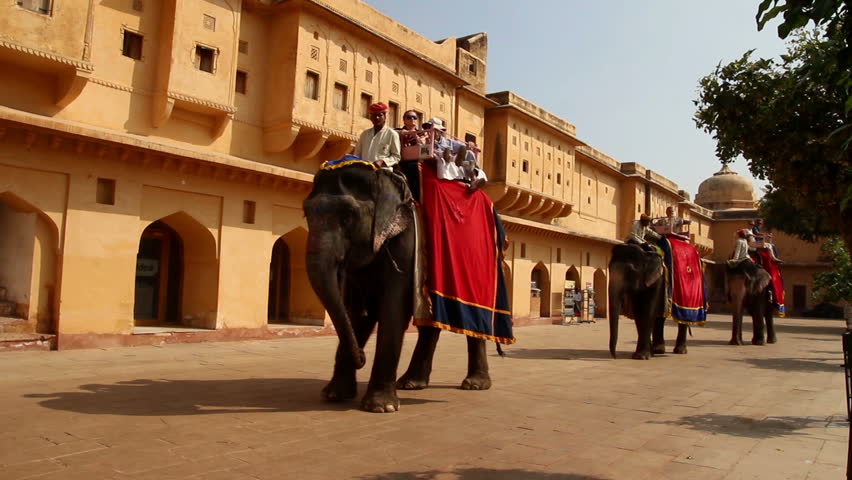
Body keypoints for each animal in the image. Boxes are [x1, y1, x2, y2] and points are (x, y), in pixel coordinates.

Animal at [303, 161, 491, 413]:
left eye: (348, 215)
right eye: (306, 213)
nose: (361, 356)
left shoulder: (407, 239)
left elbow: (392, 307)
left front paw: (381, 407)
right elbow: (358, 314)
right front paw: (335, 395)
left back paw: (474, 384)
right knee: (430, 324)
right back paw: (411, 383)